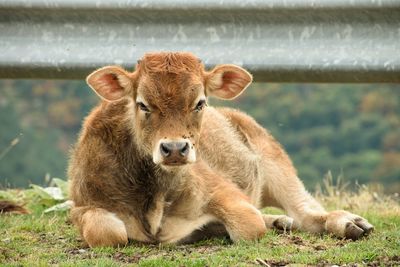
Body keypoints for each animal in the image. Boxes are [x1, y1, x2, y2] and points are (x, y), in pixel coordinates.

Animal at [68, 52, 372, 249]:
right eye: (142, 104)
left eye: (200, 103)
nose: (175, 148)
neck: (154, 196)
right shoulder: (82, 205)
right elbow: (106, 232)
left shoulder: (222, 190)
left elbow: (249, 225)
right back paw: (280, 222)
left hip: (274, 160)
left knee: (306, 212)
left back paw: (351, 223)